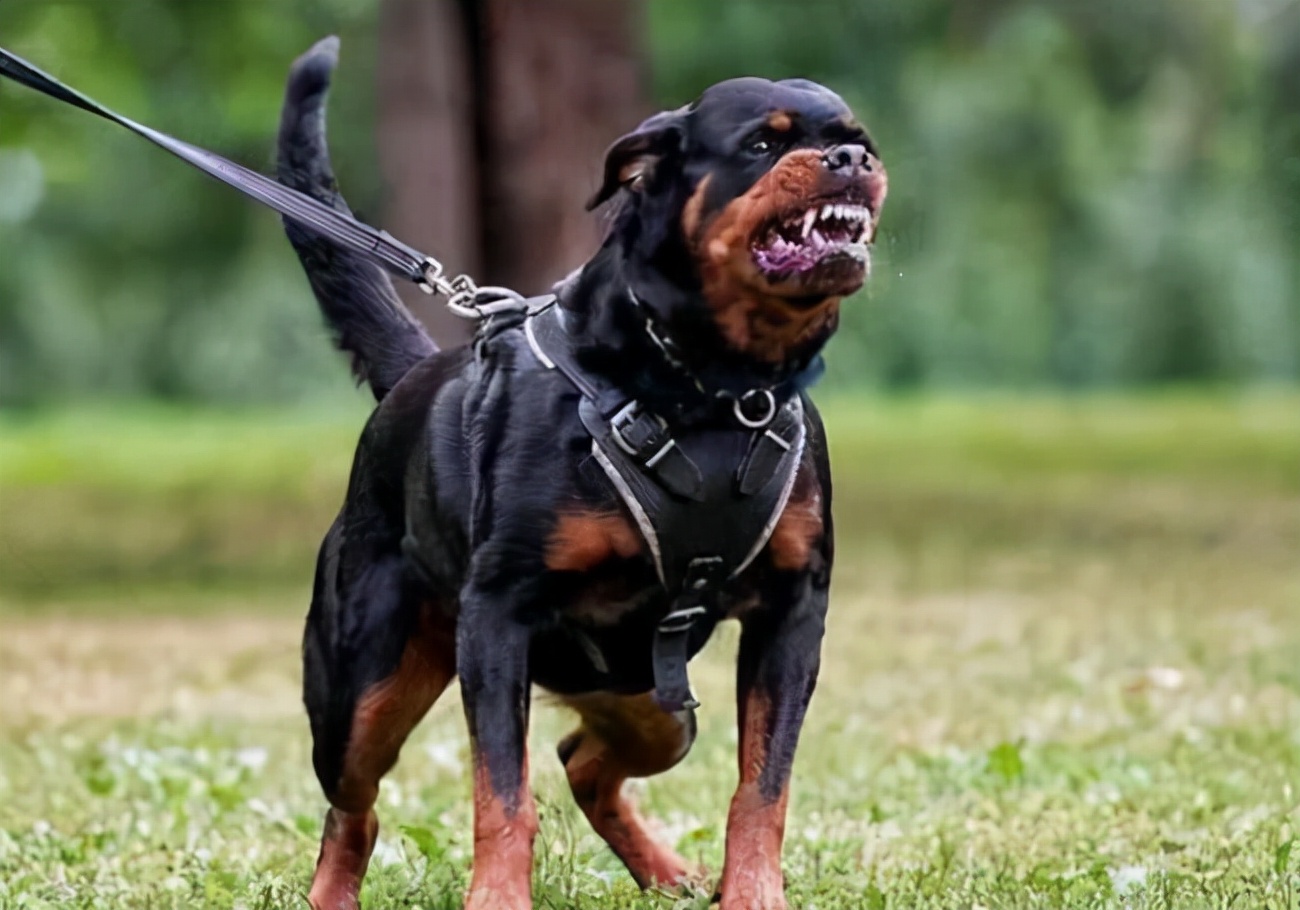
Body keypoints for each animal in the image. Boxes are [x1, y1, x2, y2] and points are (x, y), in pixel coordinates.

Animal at [274, 35, 883, 909]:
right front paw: (497, 897)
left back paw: (666, 871)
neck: (712, 387)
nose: (848, 159)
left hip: (650, 698)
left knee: (588, 759)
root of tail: (415, 377)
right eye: (762, 146)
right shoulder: (497, 614)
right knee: (352, 801)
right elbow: (502, 793)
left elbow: (763, 785)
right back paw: (331, 894)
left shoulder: (794, 610)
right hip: (360, 687)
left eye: (859, 140)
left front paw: (753, 890)